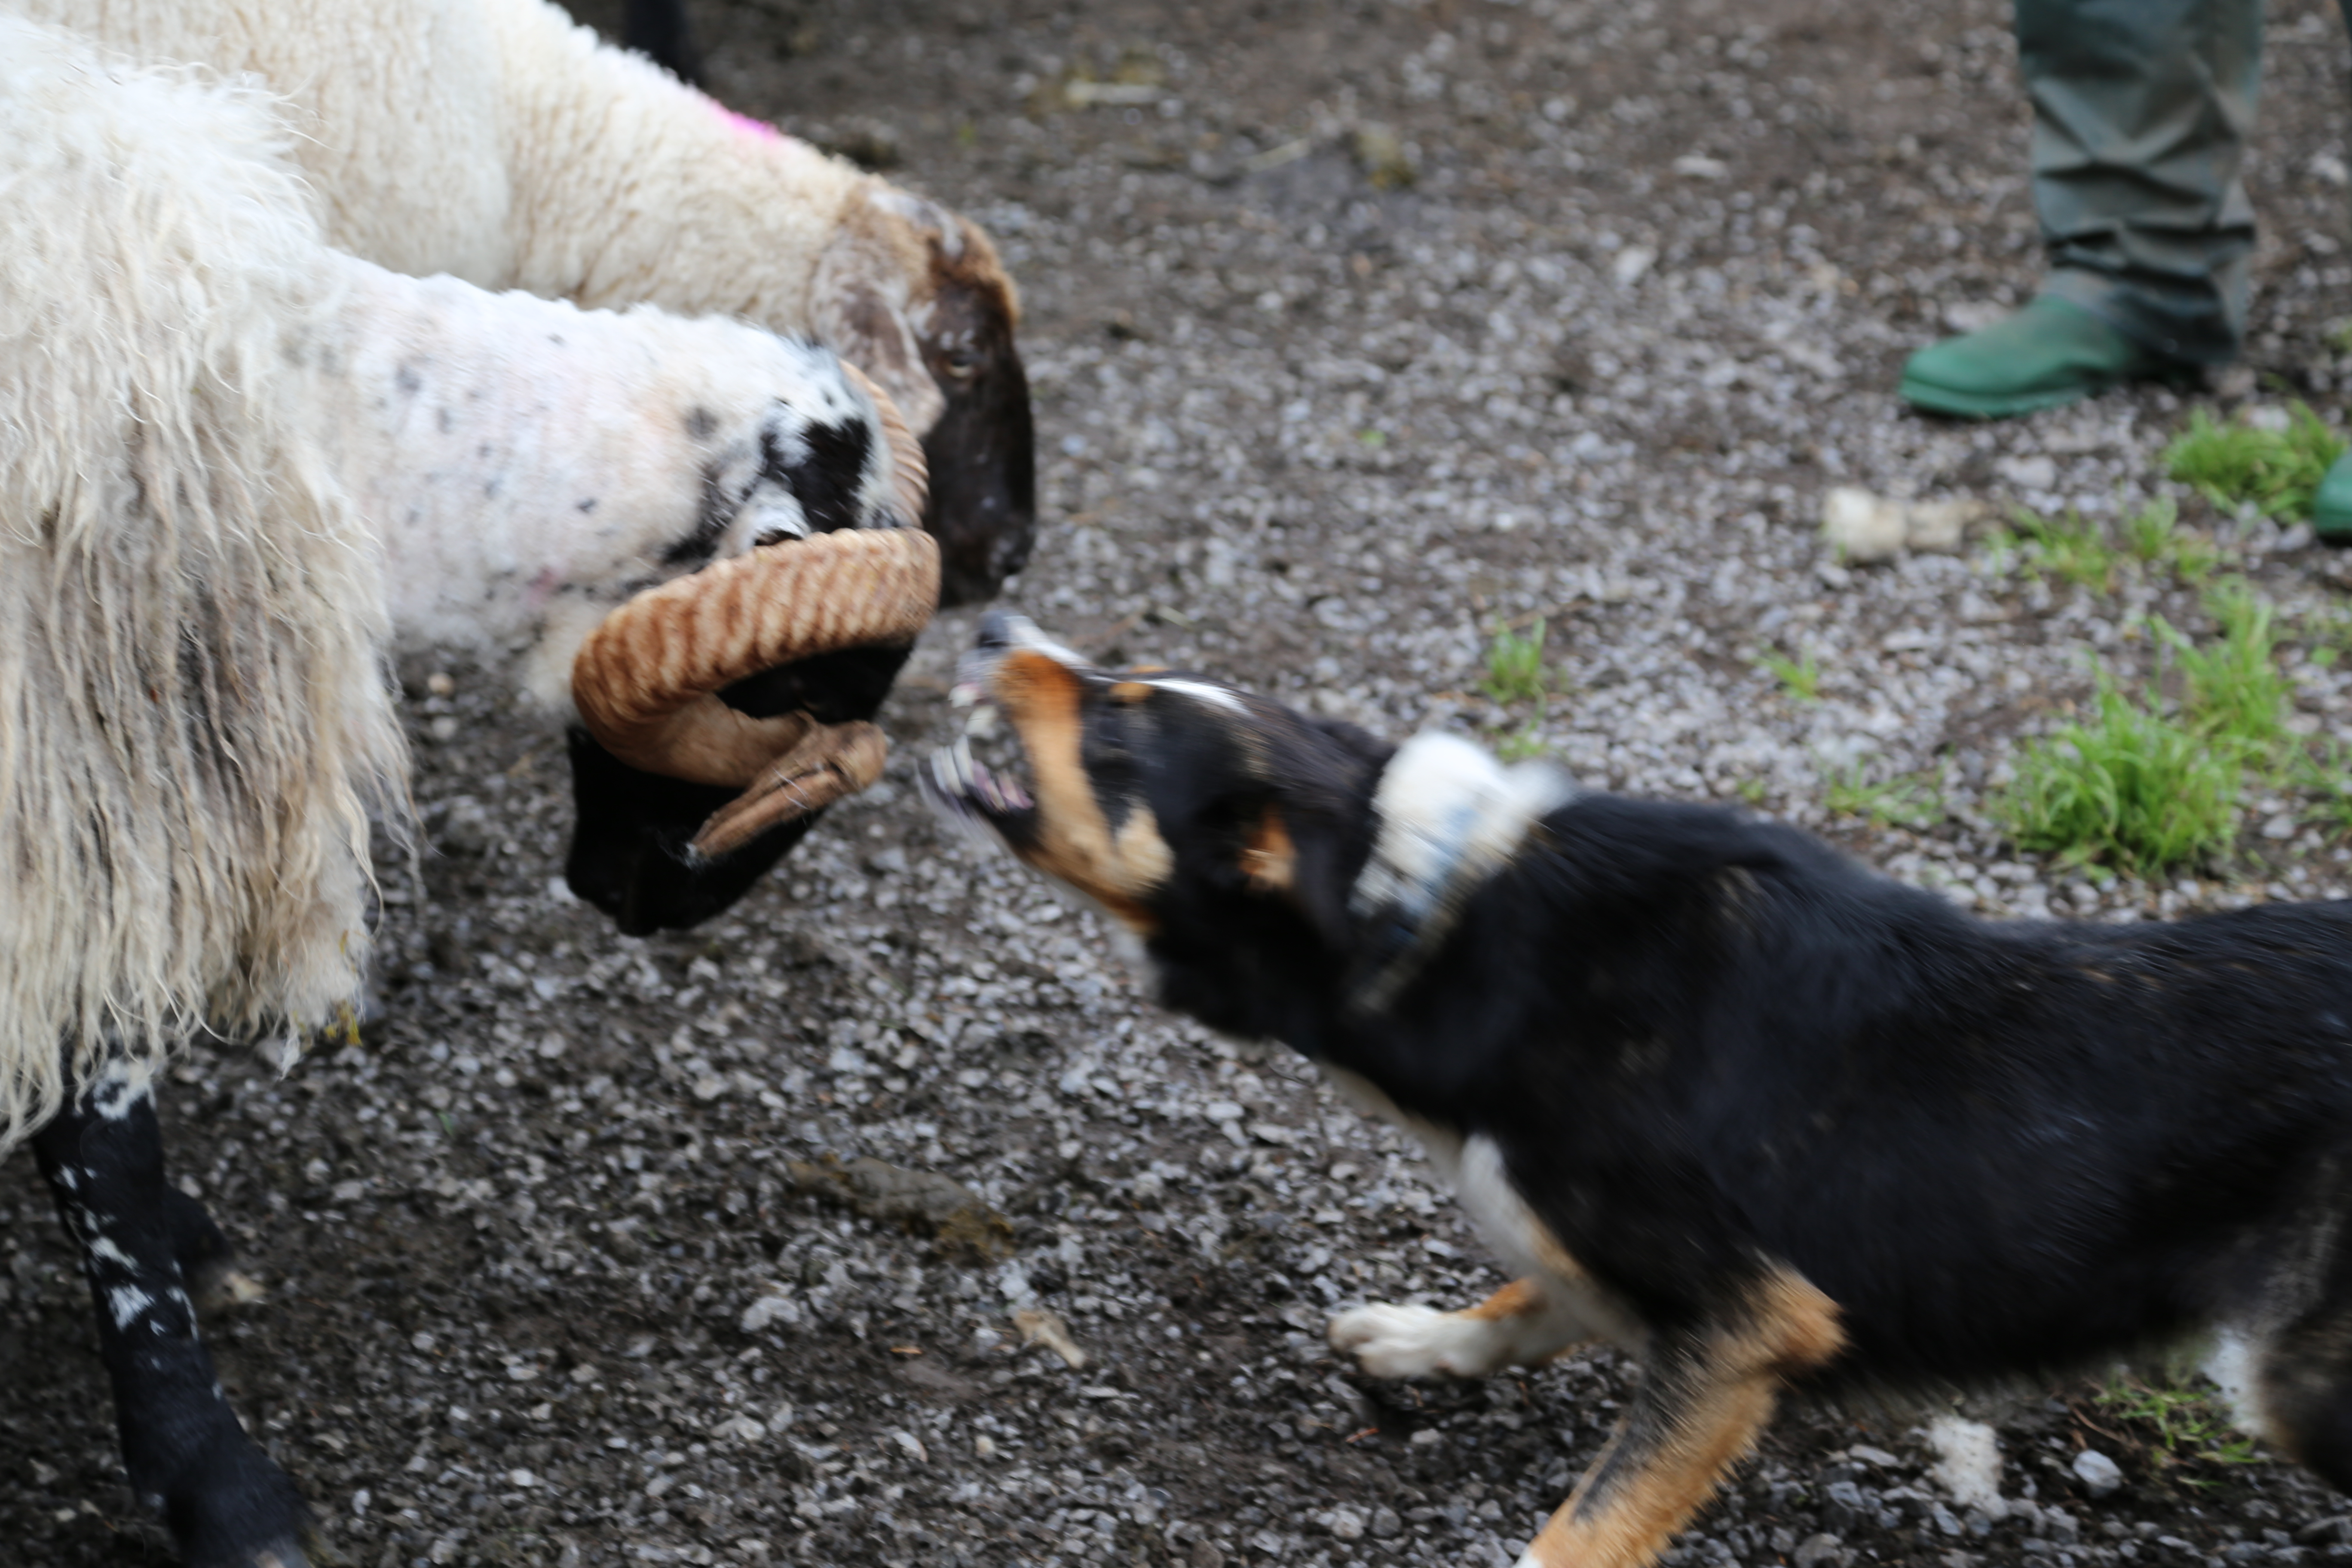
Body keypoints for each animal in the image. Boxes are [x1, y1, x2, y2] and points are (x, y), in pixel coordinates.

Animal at [2, 21, 936, 1561]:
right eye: (795, 688)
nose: (654, 898)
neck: (316, 409)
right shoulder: (94, 792)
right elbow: (109, 1150)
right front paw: (213, 1473)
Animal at [931, 611, 2352, 1568]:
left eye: (1119, 720)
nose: (991, 621)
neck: (1441, 915)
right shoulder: (1595, 1253)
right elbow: (1526, 1295)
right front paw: (1426, 1339)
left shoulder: (1748, 1324)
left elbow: (1588, 1525)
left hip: (2298, 1386)